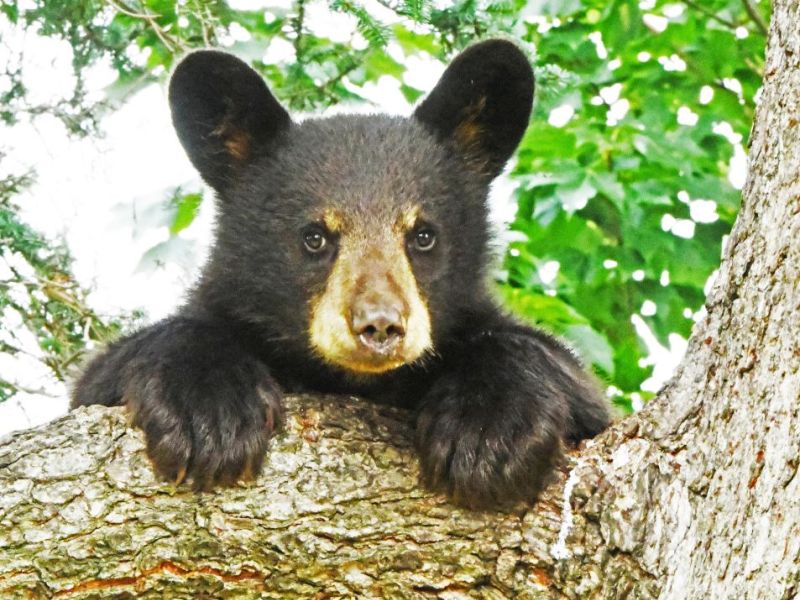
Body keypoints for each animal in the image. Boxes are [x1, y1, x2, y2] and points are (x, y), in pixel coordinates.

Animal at [72, 39, 610, 509]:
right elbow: (107, 373)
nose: (380, 325)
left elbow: (569, 380)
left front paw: (488, 431)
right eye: (314, 236)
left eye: (423, 235)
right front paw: (209, 412)